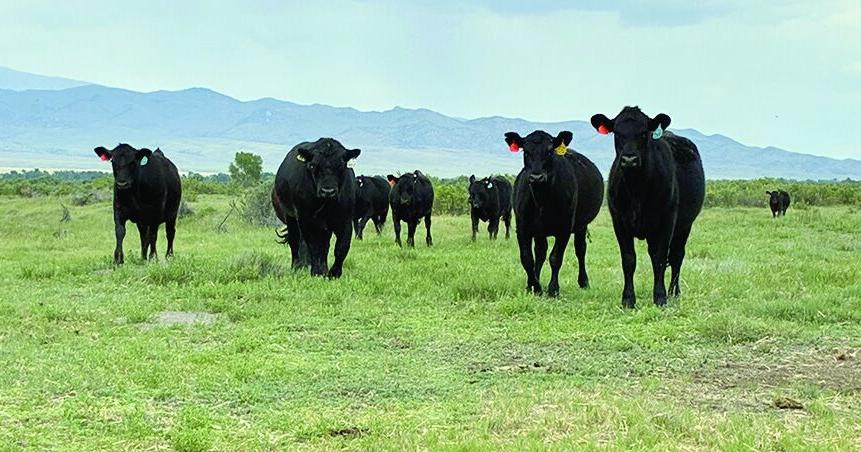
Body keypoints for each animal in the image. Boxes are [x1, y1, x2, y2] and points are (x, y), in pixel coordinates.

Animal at [271, 138, 360, 278]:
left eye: (341, 165)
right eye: (313, 165)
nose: (328, 191)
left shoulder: (345, 220)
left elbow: (342, 246)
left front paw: (334, 273)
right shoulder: (306, 220)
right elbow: (313, 246)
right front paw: (317, 272)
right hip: (291, 217)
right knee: (295, 241)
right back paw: (296, 266)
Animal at [506, 130, 604, 297]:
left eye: (550, 151)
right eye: (526, 151)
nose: (537, 177)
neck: (541, 200)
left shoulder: (564, 228)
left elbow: (556, 258)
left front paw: (553, 289)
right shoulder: (522, 227)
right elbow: (527, 258)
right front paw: (534, 286)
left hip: (581, 225)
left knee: (580, 249)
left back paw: (584, 281)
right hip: (539, 231)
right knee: (540, 253)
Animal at [591, 106, 705, 308]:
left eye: (644, 133)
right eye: (617, 133)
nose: (629, 159)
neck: (636, 189)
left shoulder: (666, 222)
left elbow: (659, 258)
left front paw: (660, 297)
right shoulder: (619, 222)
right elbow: (629, 259)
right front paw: (628, 299)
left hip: (685, 225)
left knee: (676, 257)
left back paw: (674, 292)